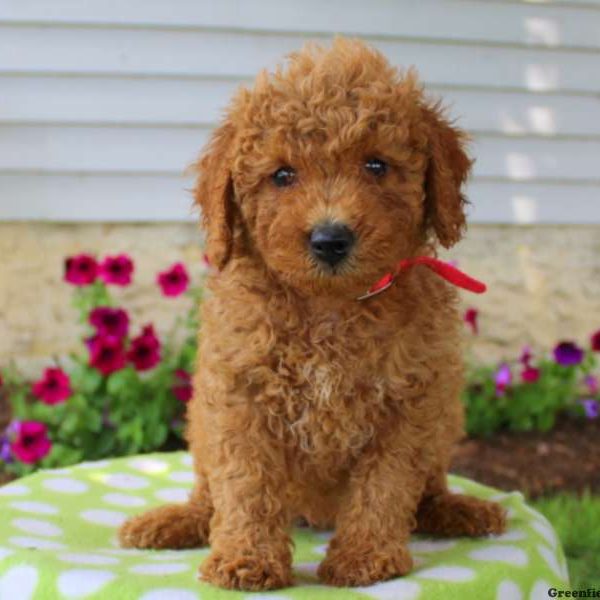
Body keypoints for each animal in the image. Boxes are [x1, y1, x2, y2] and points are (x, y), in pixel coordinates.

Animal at [120, 37, 506, 592]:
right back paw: (175, 521)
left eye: (376, 165)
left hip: (445, 421)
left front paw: (365, 557)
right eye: (282, 175)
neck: (329, 307)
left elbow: (385, 486)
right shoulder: (239, 397)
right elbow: (245, 485)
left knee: (428, 488)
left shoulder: (409, 402)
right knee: (209, 494)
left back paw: (457, 510)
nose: (330, 239)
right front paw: (246, 559)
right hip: (202, 430)